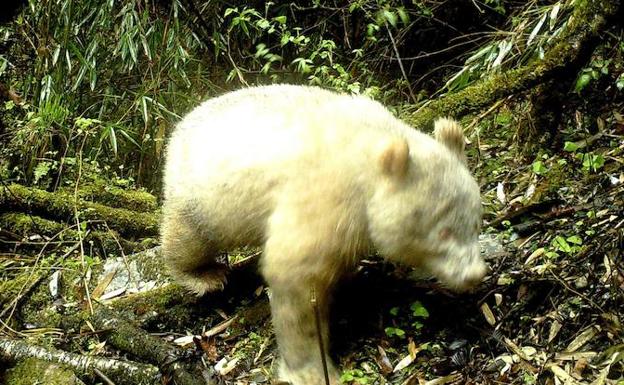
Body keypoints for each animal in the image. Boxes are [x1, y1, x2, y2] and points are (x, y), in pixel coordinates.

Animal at [158, 84, 486, 384]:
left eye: (476, 223)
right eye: (443, 232)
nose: (475, 274)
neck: (370, 153)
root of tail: (180, 127)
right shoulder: (326, 197)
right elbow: (295, 276)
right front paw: (311, 370)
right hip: (202, 196)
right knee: (188, 238)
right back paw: (204, 275)